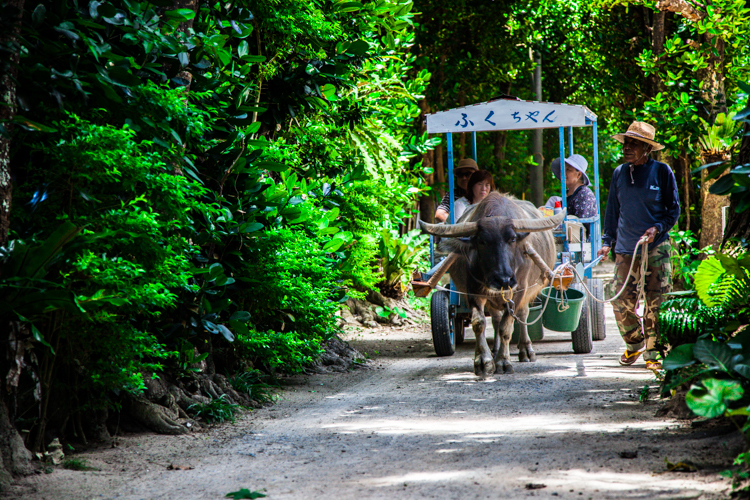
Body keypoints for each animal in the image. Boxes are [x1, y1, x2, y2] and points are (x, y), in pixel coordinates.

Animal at [420, 191, 568, 376]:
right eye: (482, 241)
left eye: (513, 239)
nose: (503, 279)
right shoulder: (473, 292)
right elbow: (479, 323)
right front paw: (483, 360)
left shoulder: (518, 291)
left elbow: (506, 327)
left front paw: (503, 361)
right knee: (496, 319)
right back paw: (496, 349)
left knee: (522, 315)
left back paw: (525, 350)